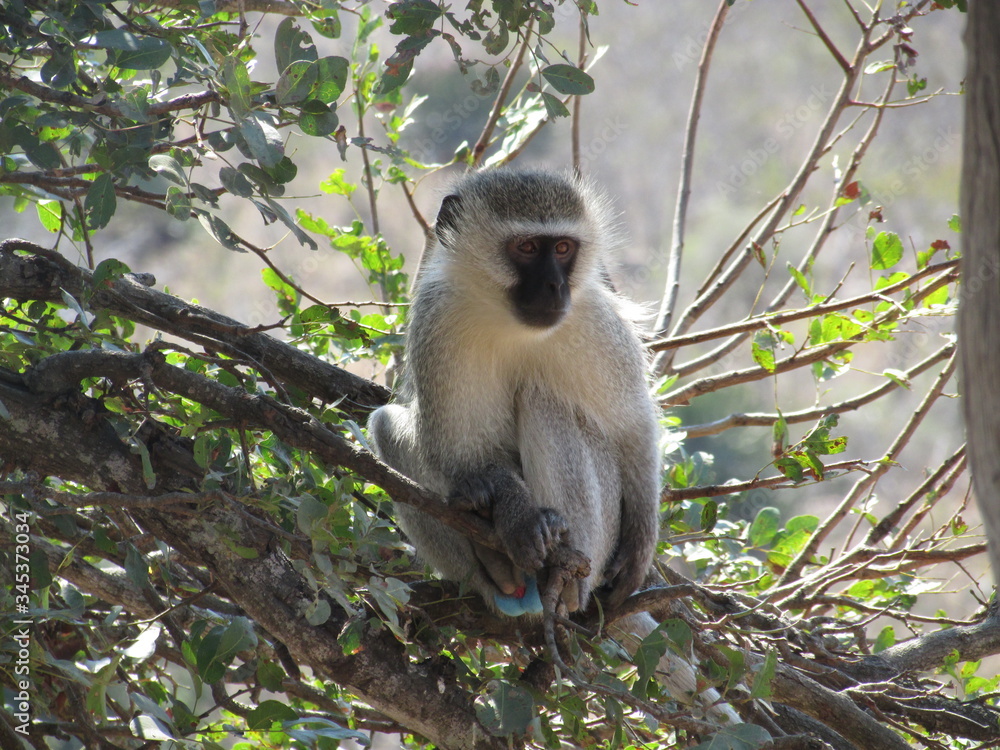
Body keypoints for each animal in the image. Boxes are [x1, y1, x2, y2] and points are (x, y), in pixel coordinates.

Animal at [368, 169, 740, 722]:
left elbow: (632, 425)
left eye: (563, 248)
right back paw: (499, 570)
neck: (510, 322)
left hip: (597, 538)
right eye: (526, 247)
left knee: (546, 401)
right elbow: (455, 452)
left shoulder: (597, 323)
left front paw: (642, 544)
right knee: (387, 425)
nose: (553, 285)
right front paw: (515, 512)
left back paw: (561, 586)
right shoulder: (437, 321)